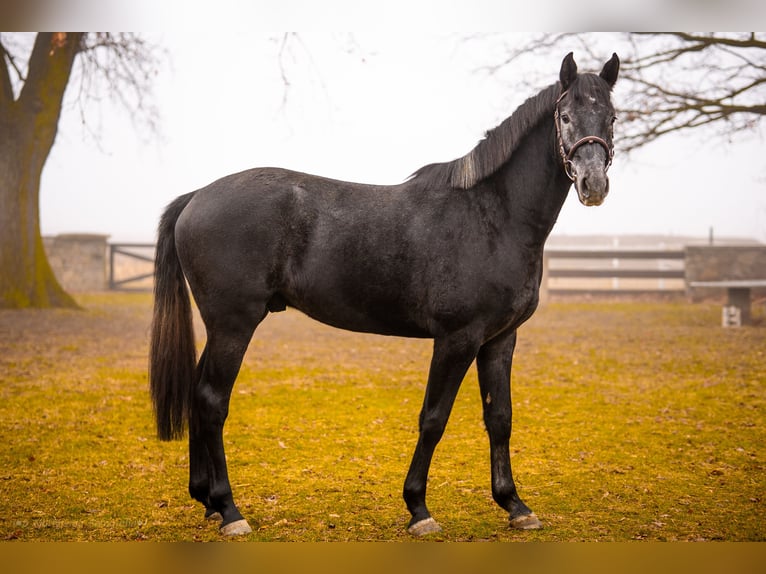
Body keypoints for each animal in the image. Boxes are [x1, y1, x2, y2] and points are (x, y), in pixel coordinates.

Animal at [149, 52, 620, 537]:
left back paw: (206, 500)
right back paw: (229, 510)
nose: (593, 185)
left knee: (197, 394)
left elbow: (500, 418)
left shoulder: (499, 339)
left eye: (611, 117)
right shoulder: (458, 338)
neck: (493, 216)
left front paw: (514, 504)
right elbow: (433, 419)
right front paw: (419, 508)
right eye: (565, 116)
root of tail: (197, 197)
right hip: (233, 325)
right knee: (211, 400)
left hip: (222, 327)